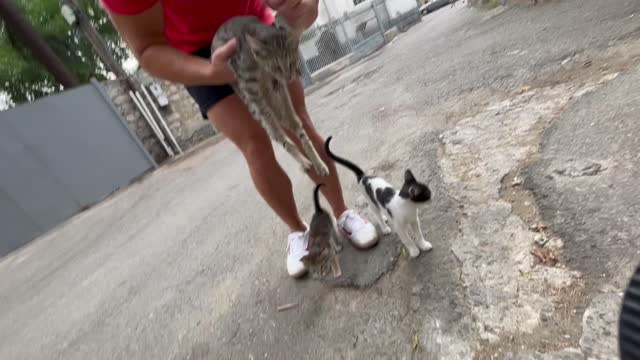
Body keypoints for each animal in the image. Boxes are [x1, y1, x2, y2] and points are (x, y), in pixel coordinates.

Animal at [212, 14, 330, 176]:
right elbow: (273, 124)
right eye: (276, 66)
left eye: (291, 63)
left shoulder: (279, 89)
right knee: (278, 135)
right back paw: (301, 159)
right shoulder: (251, 90)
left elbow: (294, 123)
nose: (289, 77)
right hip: (254, 107)